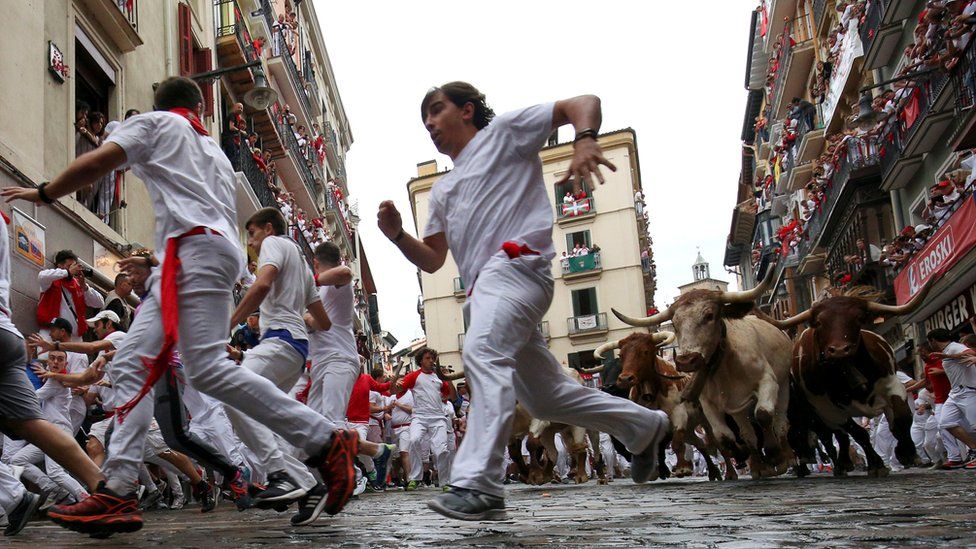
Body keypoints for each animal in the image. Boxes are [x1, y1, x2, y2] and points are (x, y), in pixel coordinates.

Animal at [612, 268, 796, 476]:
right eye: (674, 323)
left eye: (709, 316)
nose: (686, 361)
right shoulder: (708, 403)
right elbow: (724, 437)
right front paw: (741, 454)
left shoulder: (767, 381)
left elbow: (763, 415)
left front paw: (774, 454)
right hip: (735, 409)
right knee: (740, 435)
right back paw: (753, 466)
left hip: (783, 386)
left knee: (780, 423)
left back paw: (786, 459)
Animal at [772, 286, 932, 476]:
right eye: (819, 322)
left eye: (859, 318)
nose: (840, 350)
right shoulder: (827, 409)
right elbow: (857, 433)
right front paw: (876, 464)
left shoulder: (893, 384)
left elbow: (902, 418)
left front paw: (907, 453)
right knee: (833, 438)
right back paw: (839, 464)